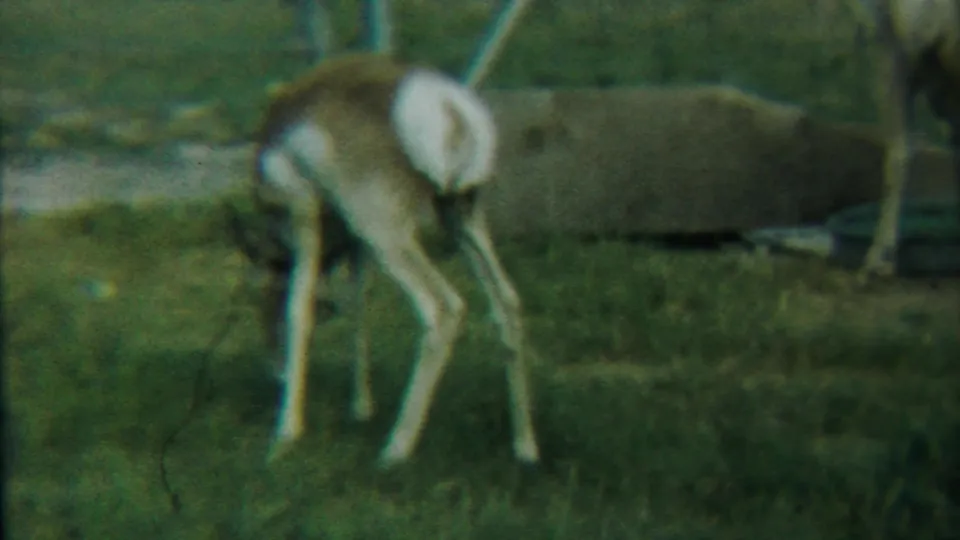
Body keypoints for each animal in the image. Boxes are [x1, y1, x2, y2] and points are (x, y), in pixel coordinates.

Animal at [230, 52, 540, 468]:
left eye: (258, 296)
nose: (274, 371)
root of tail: (447, 106)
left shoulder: (304, 210)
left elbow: (301, 309)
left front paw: (286, 434)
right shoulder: (357, 243)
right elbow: (358, 301)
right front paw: (361, 406)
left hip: (387, 233)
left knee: (443, 308)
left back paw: (394, 450)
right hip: (459, 217)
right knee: (506, 301)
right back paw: (525, 446)